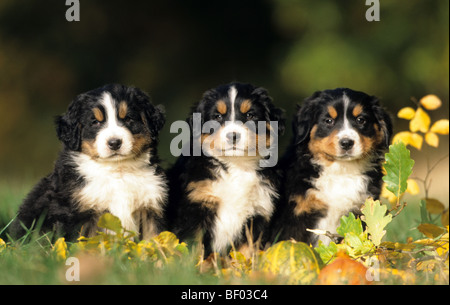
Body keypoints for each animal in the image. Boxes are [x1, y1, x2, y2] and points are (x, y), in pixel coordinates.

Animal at [11, 83, 167, 240]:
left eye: (128, 119)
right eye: (95, 122)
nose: (114, 143)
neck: (117, 170)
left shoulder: (151, 205)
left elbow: (153, 239)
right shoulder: (78, 212)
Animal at [169, 81, 284, 254]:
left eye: (250, 115)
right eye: (217, 117)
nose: (233, 136)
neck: (236, 165)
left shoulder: (258, 212)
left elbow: (247, 252)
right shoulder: (195, 207)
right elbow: (194, 248)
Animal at [272, 86, 392, 246]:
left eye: (361, 120)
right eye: (328, 120)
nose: (346, 143)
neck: (341, 171)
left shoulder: (361, 211)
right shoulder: (297, 213)